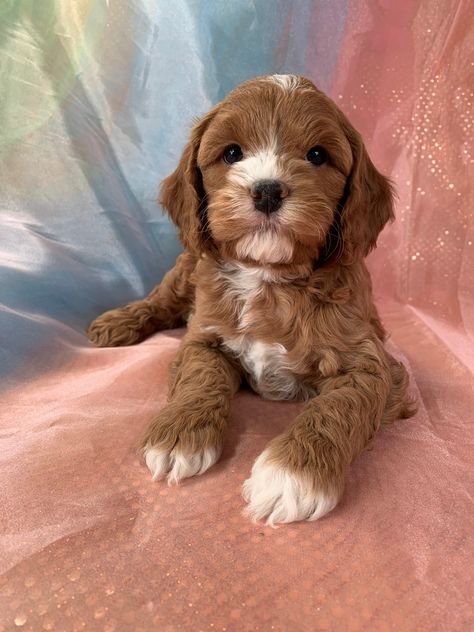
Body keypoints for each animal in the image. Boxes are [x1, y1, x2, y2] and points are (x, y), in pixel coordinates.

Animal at [89, 74, 414, 524]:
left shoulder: (372, 362)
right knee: (160, 300)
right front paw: (177, 436)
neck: (268, 278)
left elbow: (340, 404)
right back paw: (117, 323)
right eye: (231, 153)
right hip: (187, 267)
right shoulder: (203, 337)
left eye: (317, 155)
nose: (267, 192)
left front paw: (291, 475)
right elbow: (200, 376)